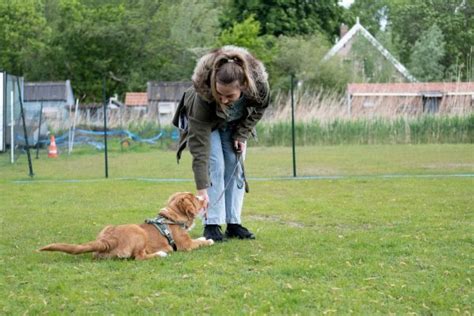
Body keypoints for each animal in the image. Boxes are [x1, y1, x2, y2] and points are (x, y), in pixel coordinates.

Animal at [39, 191, 213, 260]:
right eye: (194, 198)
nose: (203, 198)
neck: (171, 217)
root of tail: (108, 240)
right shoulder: (186, 245)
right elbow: (199, 243)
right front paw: (209, 240)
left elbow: (199, 238)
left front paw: (204, 237)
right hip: (139, 233)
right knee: (139, 257)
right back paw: (160, 254)